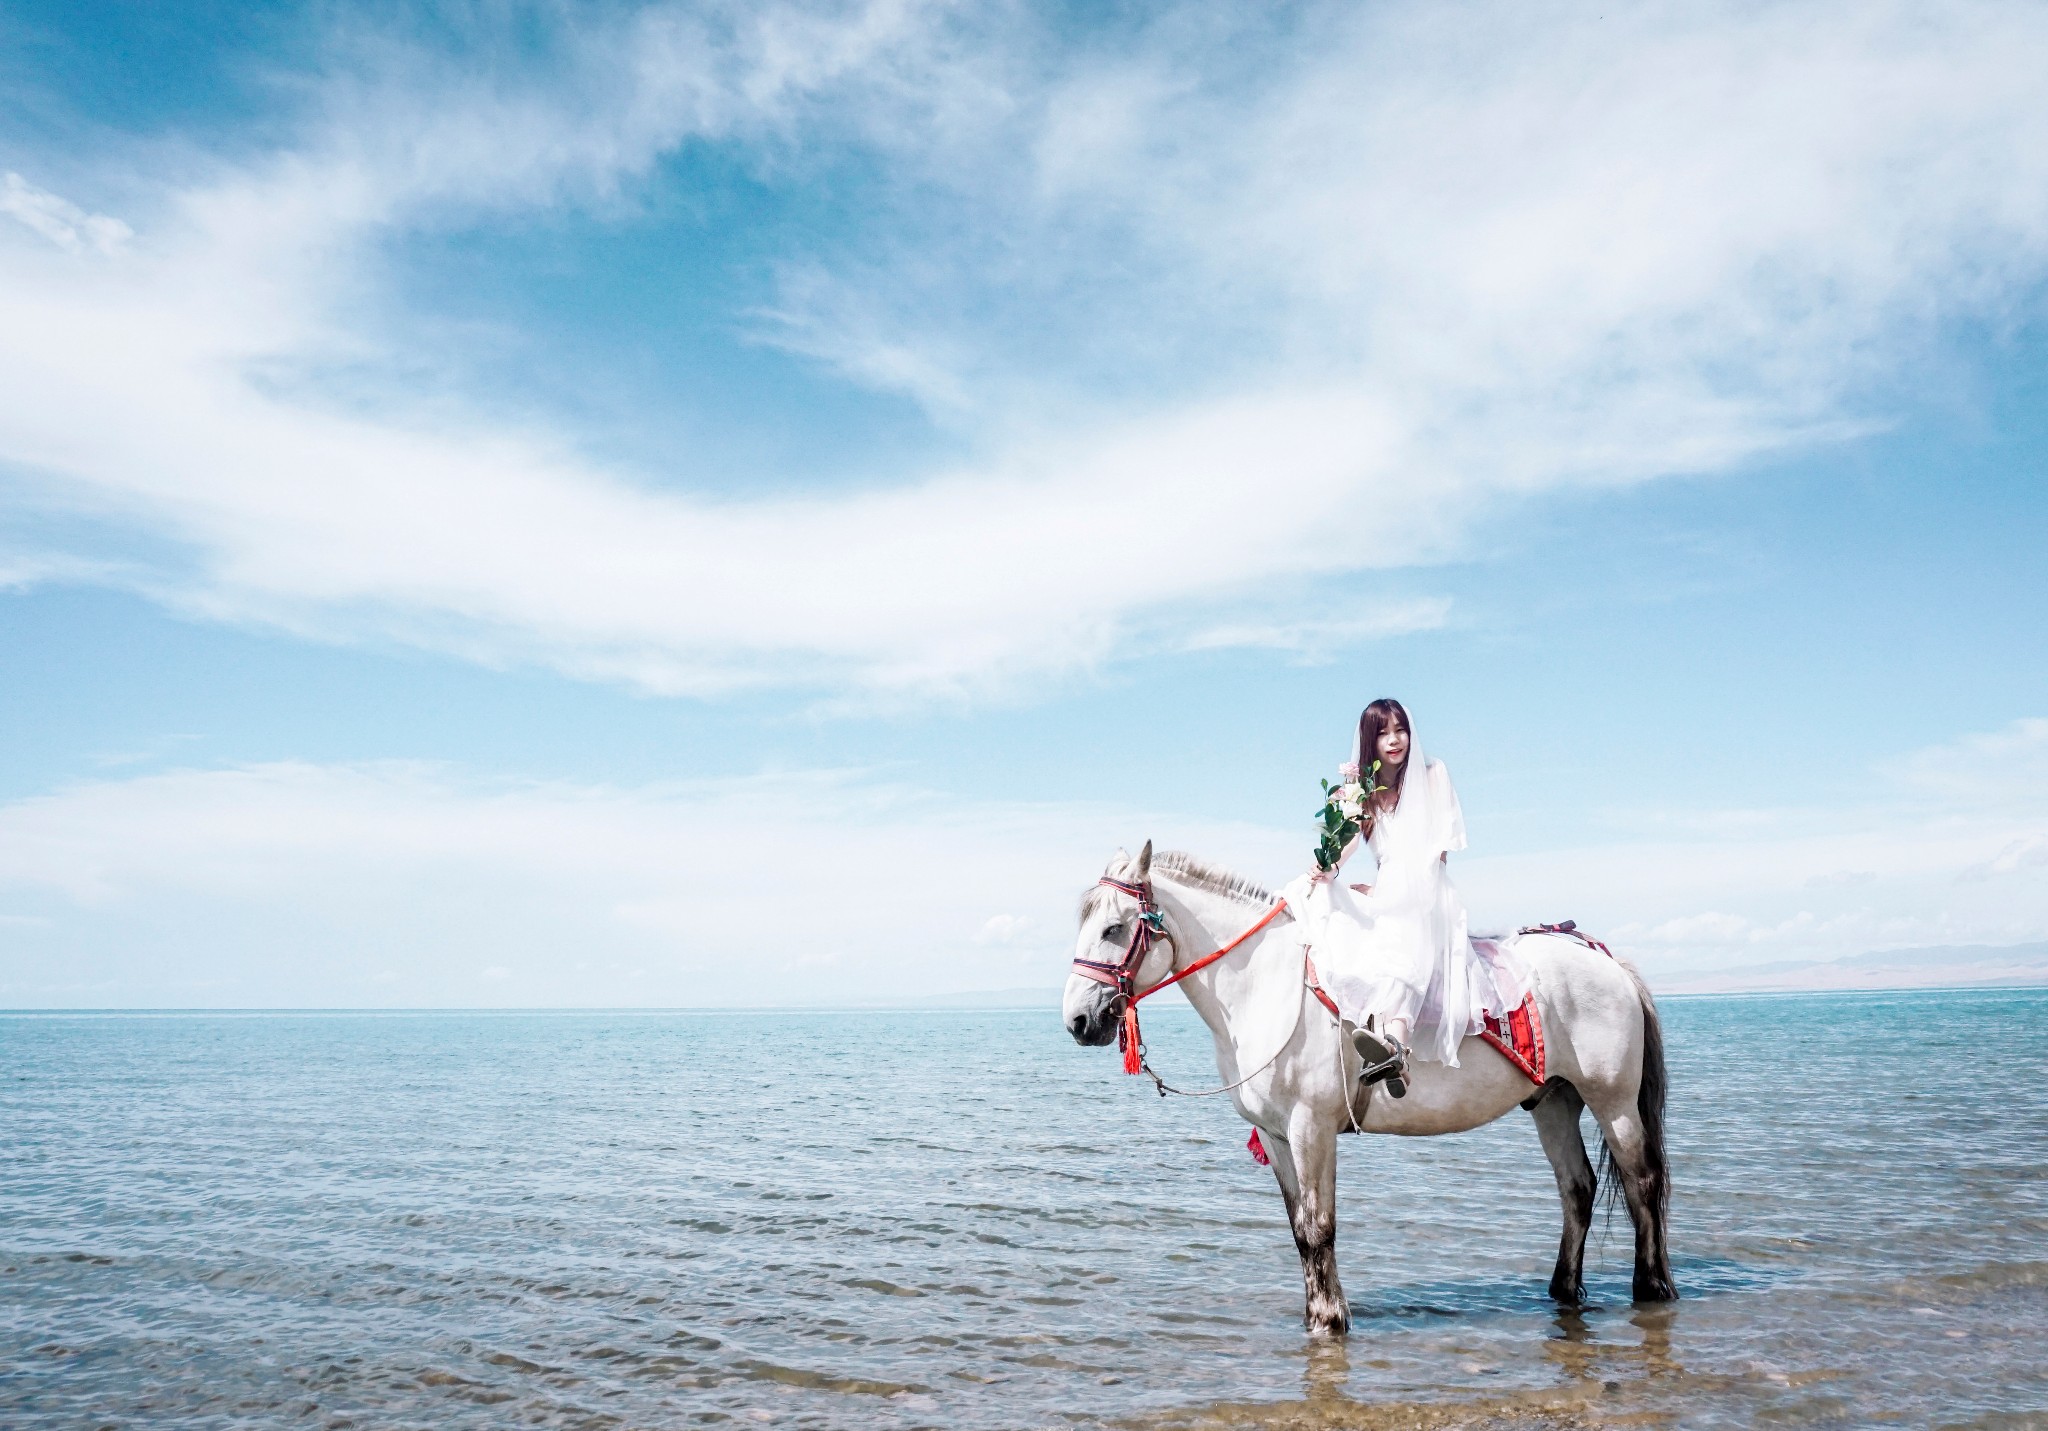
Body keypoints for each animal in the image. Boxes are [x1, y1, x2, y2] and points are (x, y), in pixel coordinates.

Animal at [1064, 843, 1671, 1334]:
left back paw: (1652, 1286)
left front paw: (1331, 1319)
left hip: (1613, 1102)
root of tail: (1605, 959)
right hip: (1554, 1102)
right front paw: (1316, 1313)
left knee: (1641, 1183)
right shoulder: (1277, 1137)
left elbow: (1318, 1228)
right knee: (1578, 1188)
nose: (1078, 1021)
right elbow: (1299, 1231)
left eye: (1114, 929)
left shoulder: (1311, 1130)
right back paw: (1563, 1290)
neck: (1266, 985)